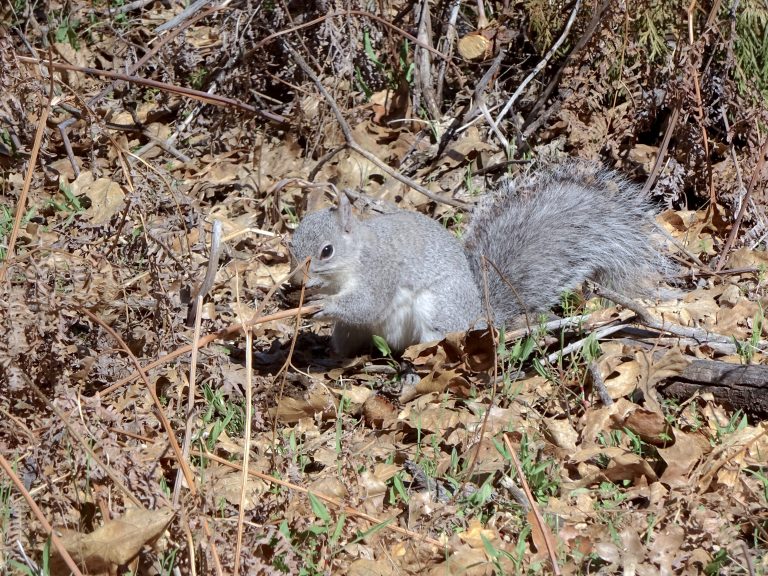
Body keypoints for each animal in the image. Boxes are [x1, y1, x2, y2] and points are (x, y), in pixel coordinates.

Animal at [288, 159, 664, 356]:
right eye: (291, 248)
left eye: (326, 250)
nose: (296, 281)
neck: (354, 259)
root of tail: (480, 316)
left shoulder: (381, 272)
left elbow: (367, 303)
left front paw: (324, 306)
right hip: (350, 333)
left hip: (438, 314)